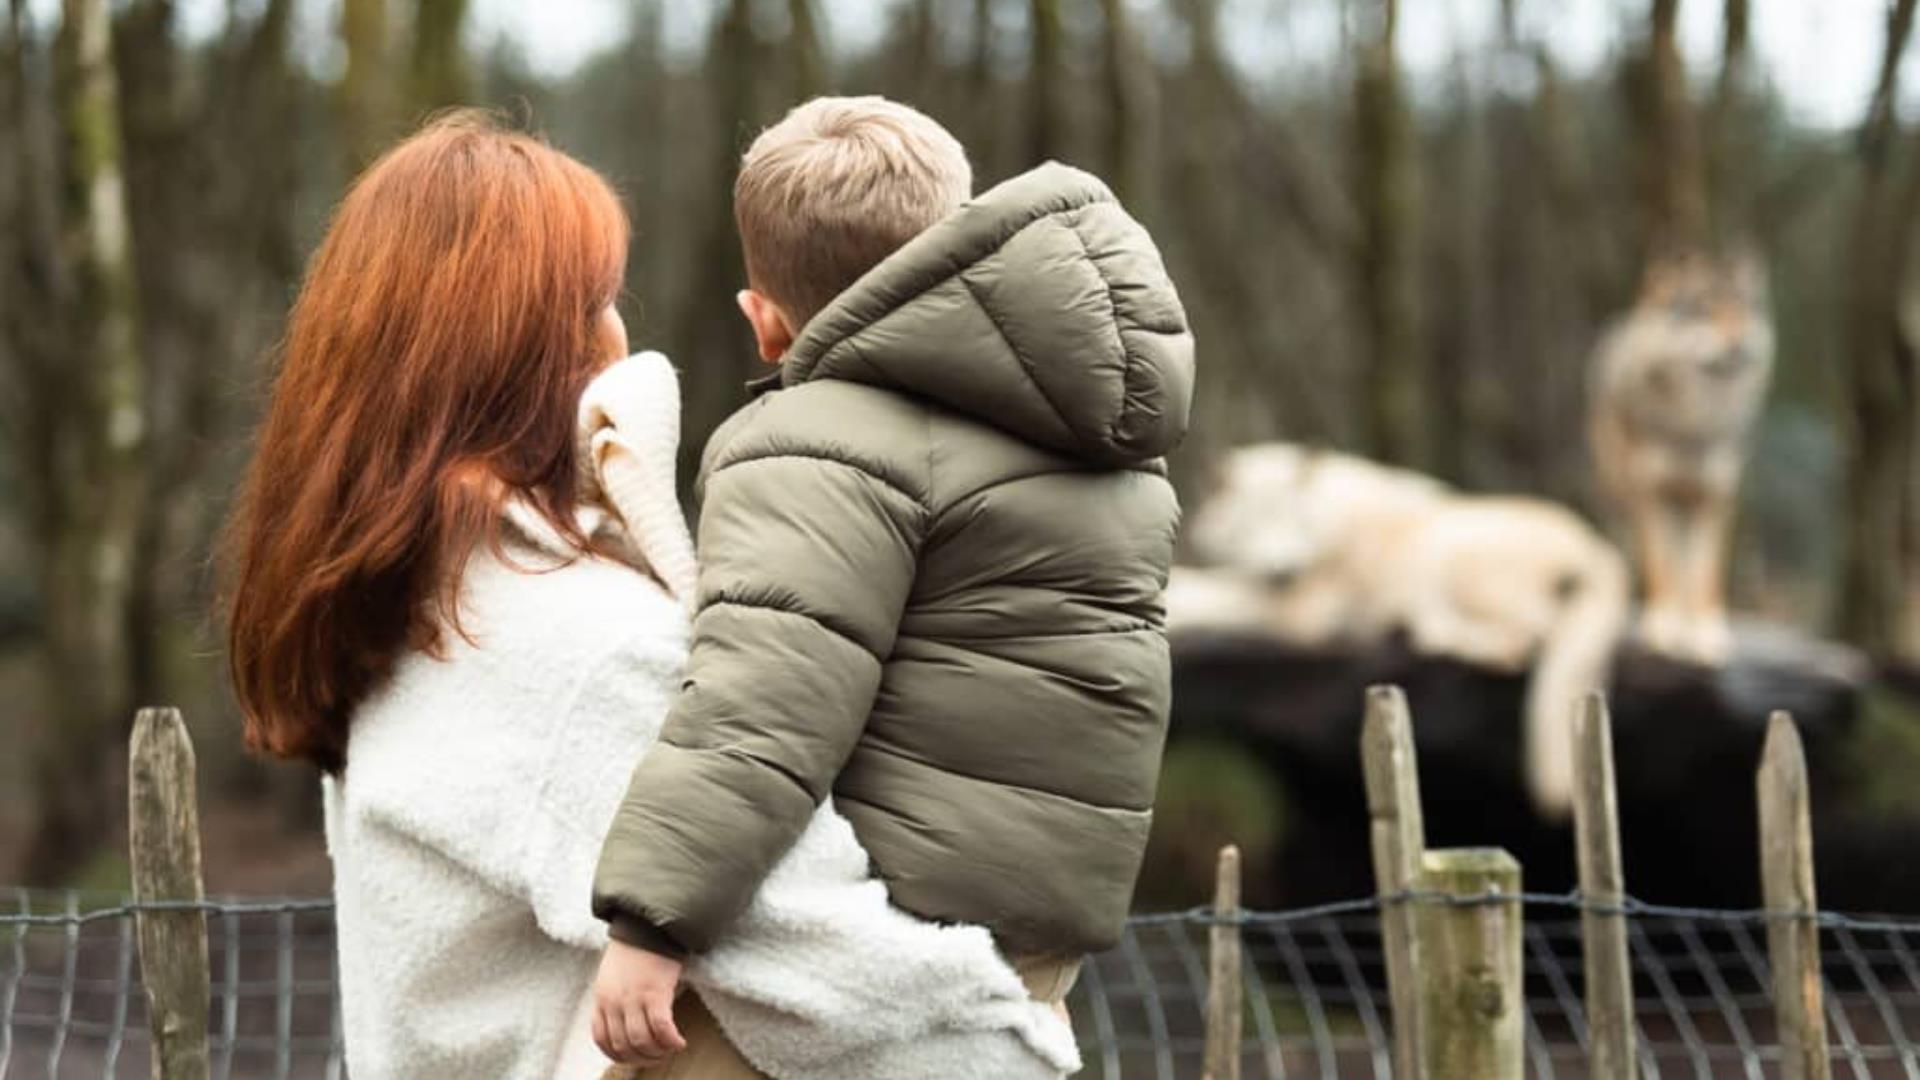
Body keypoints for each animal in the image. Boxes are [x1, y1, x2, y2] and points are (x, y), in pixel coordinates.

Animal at [1175, 441, 1628, 810]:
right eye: (1250, 524)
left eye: (1293, 521)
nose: (1284, 570)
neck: (1331, 519)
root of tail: (1598, 548)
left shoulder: (1299, 611)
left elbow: (1212, 591)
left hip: (1451, 551)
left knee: (1525, 641)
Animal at [1582, 249, 1774, 661]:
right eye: (1702, 310)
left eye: (1741, 310)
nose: (1739, 343)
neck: (1694, 425)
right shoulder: (1651, 494)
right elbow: (1663, 565)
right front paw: (1664, 627)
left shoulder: (1718, 498)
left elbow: (1704, 572)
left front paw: (1705, 633)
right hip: (1622, 494)